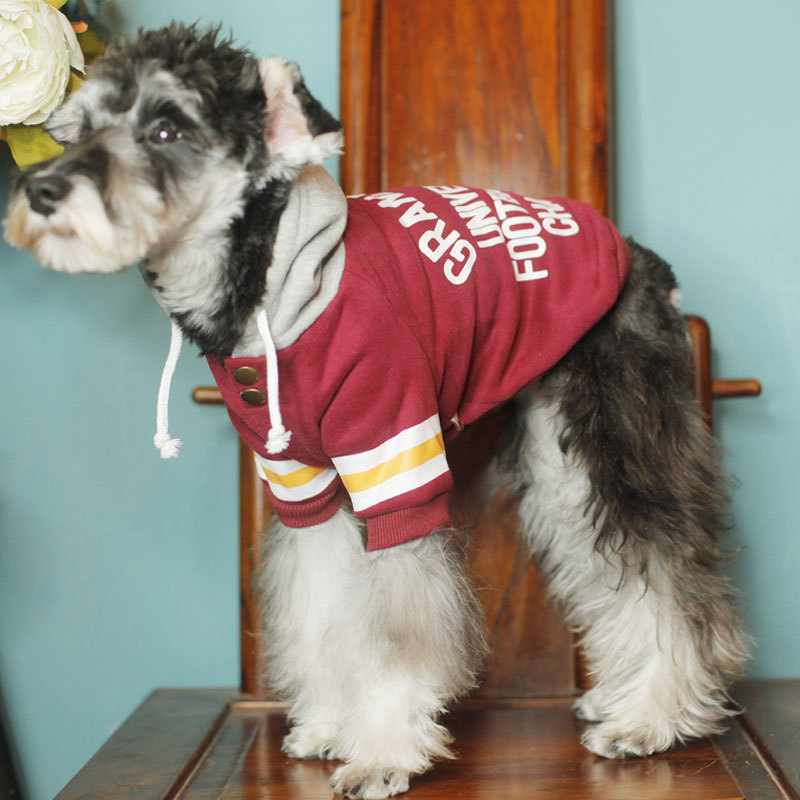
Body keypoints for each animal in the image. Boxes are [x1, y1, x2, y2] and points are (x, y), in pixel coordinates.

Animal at [5, 23, 749, 800]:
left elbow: (395, 634)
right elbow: (319, 608)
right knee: (607, 567)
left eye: (166, 127)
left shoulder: (394, 463)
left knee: (669, 571)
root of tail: (643, 261)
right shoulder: (301, 487)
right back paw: (618, 695)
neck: (270, 295)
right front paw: (331, 726)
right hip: (561, 458)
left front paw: (383, 750)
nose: (43, 188)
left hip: (620, 442)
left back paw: (654, 716)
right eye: (83, 125)